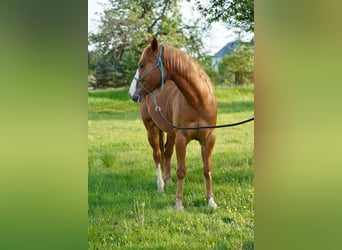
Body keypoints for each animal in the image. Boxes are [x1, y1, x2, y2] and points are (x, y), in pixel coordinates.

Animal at [128, 37, 216, 209]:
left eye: (142, 65)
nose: (132, 94)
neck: (198, 101)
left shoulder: (208, 139)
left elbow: (207, 169)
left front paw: (210, 201)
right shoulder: (182, 139)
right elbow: (181, 170)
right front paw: (179, 203)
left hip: (170, 133)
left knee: (167, 153)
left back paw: (168, 181)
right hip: (151, 129)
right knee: (157, 155)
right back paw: (161, 185)